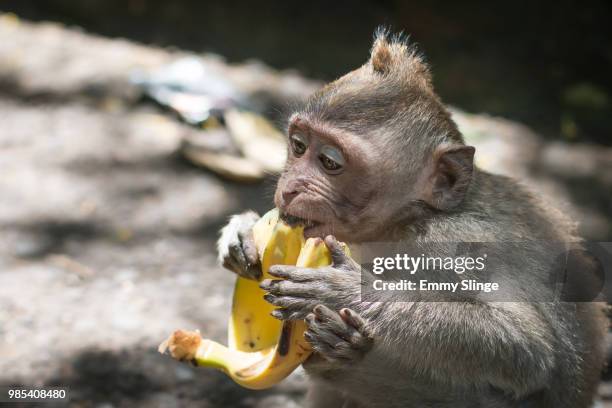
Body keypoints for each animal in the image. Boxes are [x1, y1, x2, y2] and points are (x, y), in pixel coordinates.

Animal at [216, 29, 608, 408]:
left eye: (329, 162)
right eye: (298, 146)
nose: (291, 187)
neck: (403, 223)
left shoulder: (458, 241)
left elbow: (526, 348)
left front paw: (349, 293)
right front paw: (241, 231)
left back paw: (346, 355)